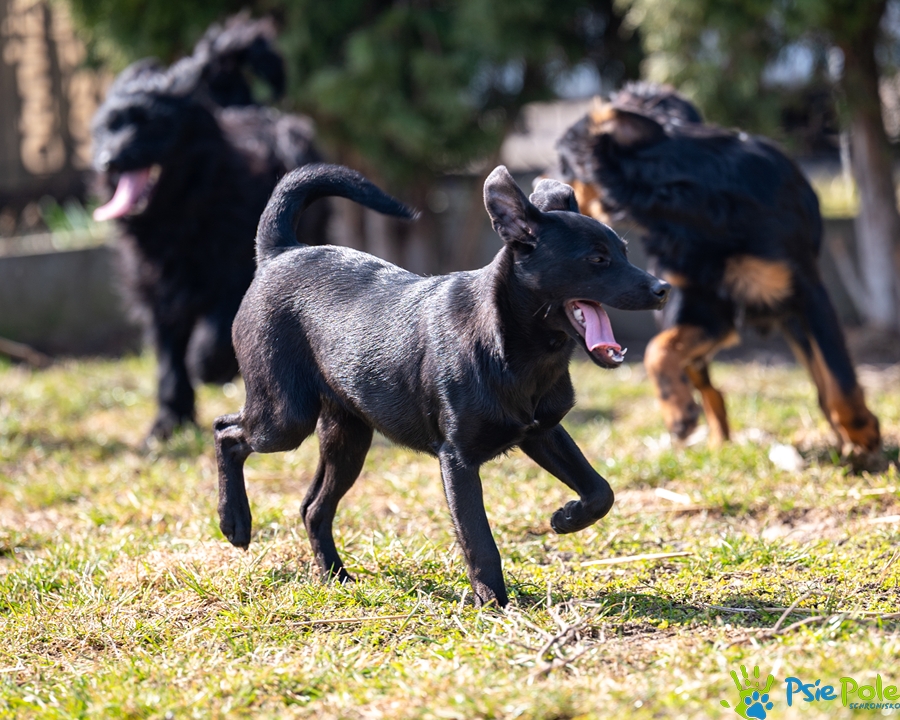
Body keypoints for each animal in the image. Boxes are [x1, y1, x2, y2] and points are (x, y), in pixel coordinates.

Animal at [91, 15, 329, 441]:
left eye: (151, 125)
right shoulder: (158, 292)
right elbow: (169, 359)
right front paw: (168, 420)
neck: (181, 207)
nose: (108, 160)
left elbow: (213, 336)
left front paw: (209, 367)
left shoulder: (232, 273)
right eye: (108, 128)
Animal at [214, 163, 670, 607]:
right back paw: (234, 521)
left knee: (313, 507)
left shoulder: (542, 431)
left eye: (625, 252)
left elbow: (600, 490)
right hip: (284, 418)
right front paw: (494, 605)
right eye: (597, 259)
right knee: (226, 431)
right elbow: (479, 540)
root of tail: (280, 252)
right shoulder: (458, 460)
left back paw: (336, 577)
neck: (518, 349)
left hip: (348, 436)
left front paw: (567, 517)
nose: (663, 289)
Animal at [551, 82, 880, 453]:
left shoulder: (807, 291)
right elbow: (657, 351)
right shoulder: (703, 308)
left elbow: (838, 373)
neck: (688, 201)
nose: (538, 185)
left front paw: (863, 430)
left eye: (563, 166)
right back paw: (714, 438)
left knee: (820, 376)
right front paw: (678, 411)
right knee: (704, 383)